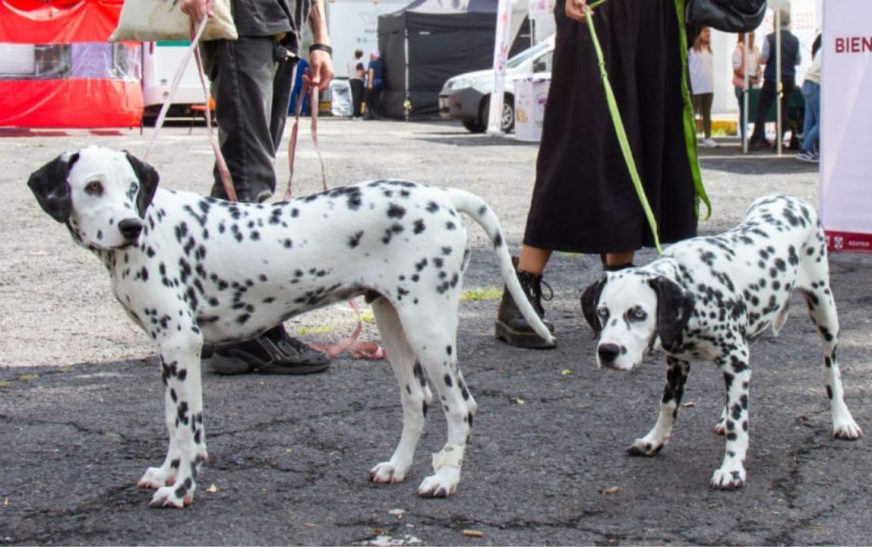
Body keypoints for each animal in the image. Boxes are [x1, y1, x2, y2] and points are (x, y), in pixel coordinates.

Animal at [30, 147, 556, 510]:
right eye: (93, 187)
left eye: (132, 188)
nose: (129, 225)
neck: (153, 231)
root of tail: (442, 194)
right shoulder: (169, 352)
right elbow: (173, 425)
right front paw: (166, 473)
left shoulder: (183, 345)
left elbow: (189, 428)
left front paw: (181, 490)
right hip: (395, 326)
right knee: (416, 400)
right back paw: (398, 467)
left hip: (428, 327)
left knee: (460, 406)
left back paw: (445, 479)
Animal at [584, 195, 860, 490]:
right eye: (602, 312)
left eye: (638, 313)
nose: (607, 351)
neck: (694, 287)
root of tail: (788, 198)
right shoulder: (678, 363)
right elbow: (668, 406)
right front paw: (653, 441)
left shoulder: (735, 360)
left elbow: (739, 423)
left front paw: (732, 470)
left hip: (824, 310)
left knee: (830, 368)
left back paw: (843, 420)